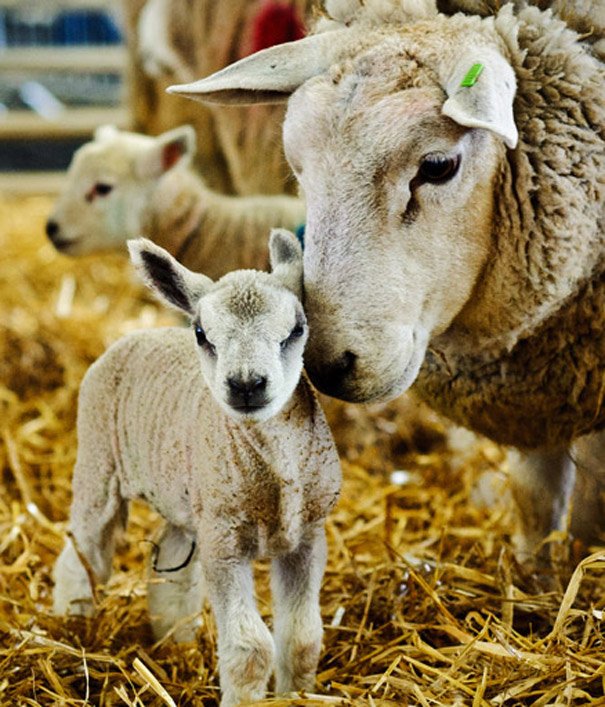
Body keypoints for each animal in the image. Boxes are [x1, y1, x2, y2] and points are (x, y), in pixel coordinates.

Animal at [52, 230, 340, 704]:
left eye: (297, 329)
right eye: (202, 334)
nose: (246, 384)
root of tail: (137, 334)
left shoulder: (307, 536)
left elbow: (302, 638)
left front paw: (295, 694)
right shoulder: (224, 542)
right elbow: (250, 648)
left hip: (190, 501)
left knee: (169, 563)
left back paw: (175, 644)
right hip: (97, 462)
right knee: (82, 554)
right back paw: (71, 626)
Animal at [169, 0, 604, 552]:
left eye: (437, 166)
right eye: (297, 168)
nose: (328, 364)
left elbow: (590, 513)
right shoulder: (542, 396)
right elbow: (536, 505)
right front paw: (534, 572)